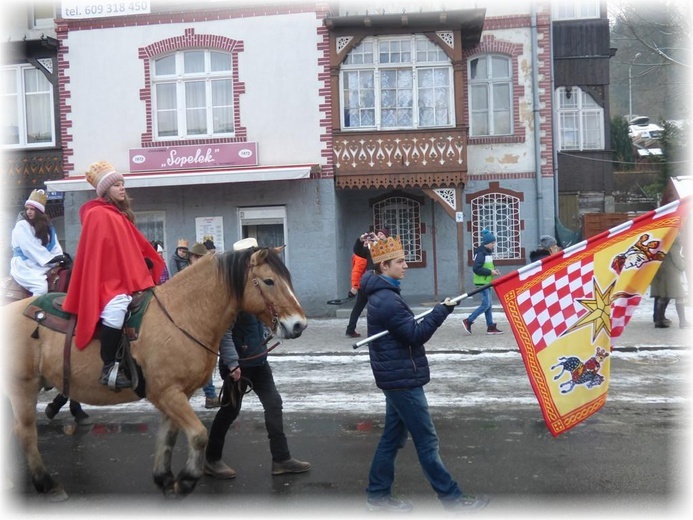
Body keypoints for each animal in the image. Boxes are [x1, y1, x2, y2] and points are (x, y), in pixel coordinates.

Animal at [2, 247, 306, 500]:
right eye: (269, 281)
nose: (298, 325)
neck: (182, 316)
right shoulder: (167, 393)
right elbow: (198, 435)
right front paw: (186, 480)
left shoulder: (176, 394)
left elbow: (168, 436)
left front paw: (164, 478)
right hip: (23, 386)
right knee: (26, 433)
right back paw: (47, 484)